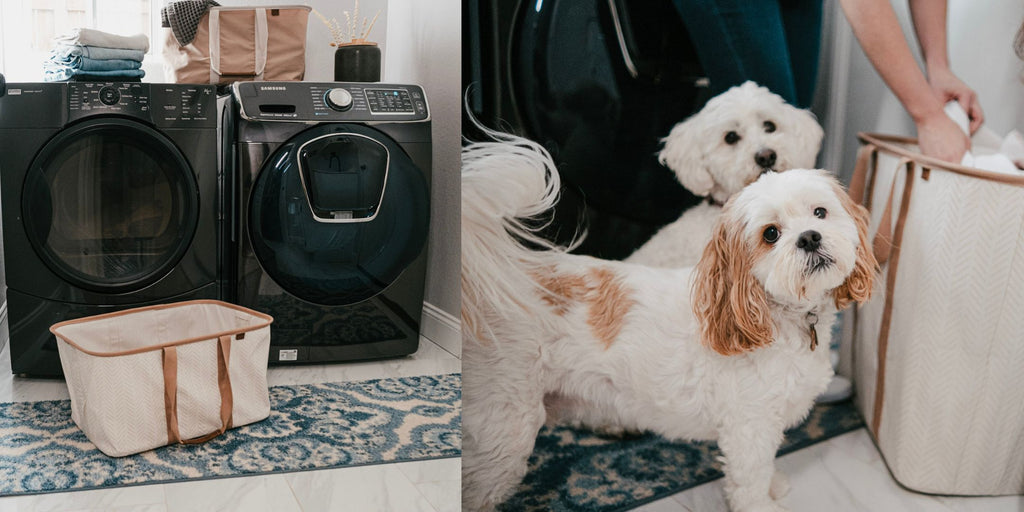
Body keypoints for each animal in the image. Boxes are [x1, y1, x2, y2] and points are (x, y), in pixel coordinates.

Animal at [460, 133, 876, 512]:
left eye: (820, 212)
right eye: (770, 234)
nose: (810, 237)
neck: (777, 316)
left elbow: (766, 466)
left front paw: (774, 485)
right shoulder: (749, 427)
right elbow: (750, 480)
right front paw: (764, 503)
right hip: (504, 431)